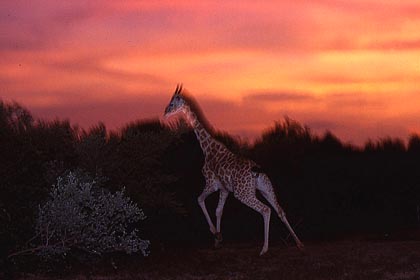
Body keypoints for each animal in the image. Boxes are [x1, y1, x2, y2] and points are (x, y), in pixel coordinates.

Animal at [164, 84, 306, 255]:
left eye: (172, 103)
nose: (165, 113)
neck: (207, 148)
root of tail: (256, 171)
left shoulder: (211, 183)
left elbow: (199, 199)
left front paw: (215, 233)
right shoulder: (224, 189)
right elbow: (218, 210)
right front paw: (218, 241)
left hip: (243, 192)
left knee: (266, 210)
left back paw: (264, 249)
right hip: (265, 188)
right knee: (280, 210)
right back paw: (299, 244)